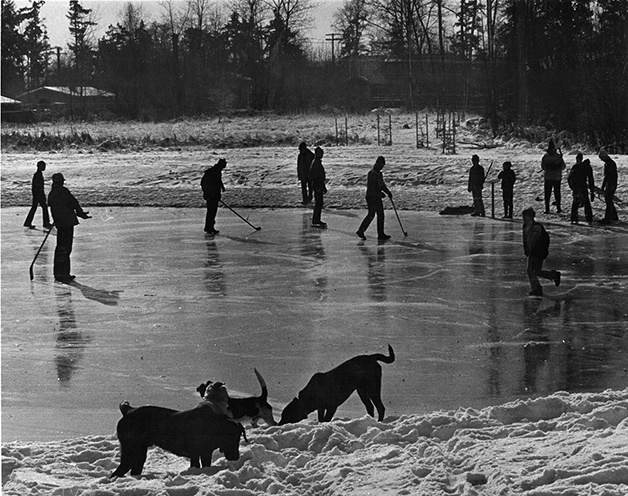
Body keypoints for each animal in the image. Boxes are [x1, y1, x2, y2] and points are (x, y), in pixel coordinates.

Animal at [111, 404, 249, 476]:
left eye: (239, 437)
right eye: (230, 438)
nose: (236, 457)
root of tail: (128, 410)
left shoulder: (205, 453)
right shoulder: (195, 454)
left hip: (136, 452)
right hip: (135, 450)